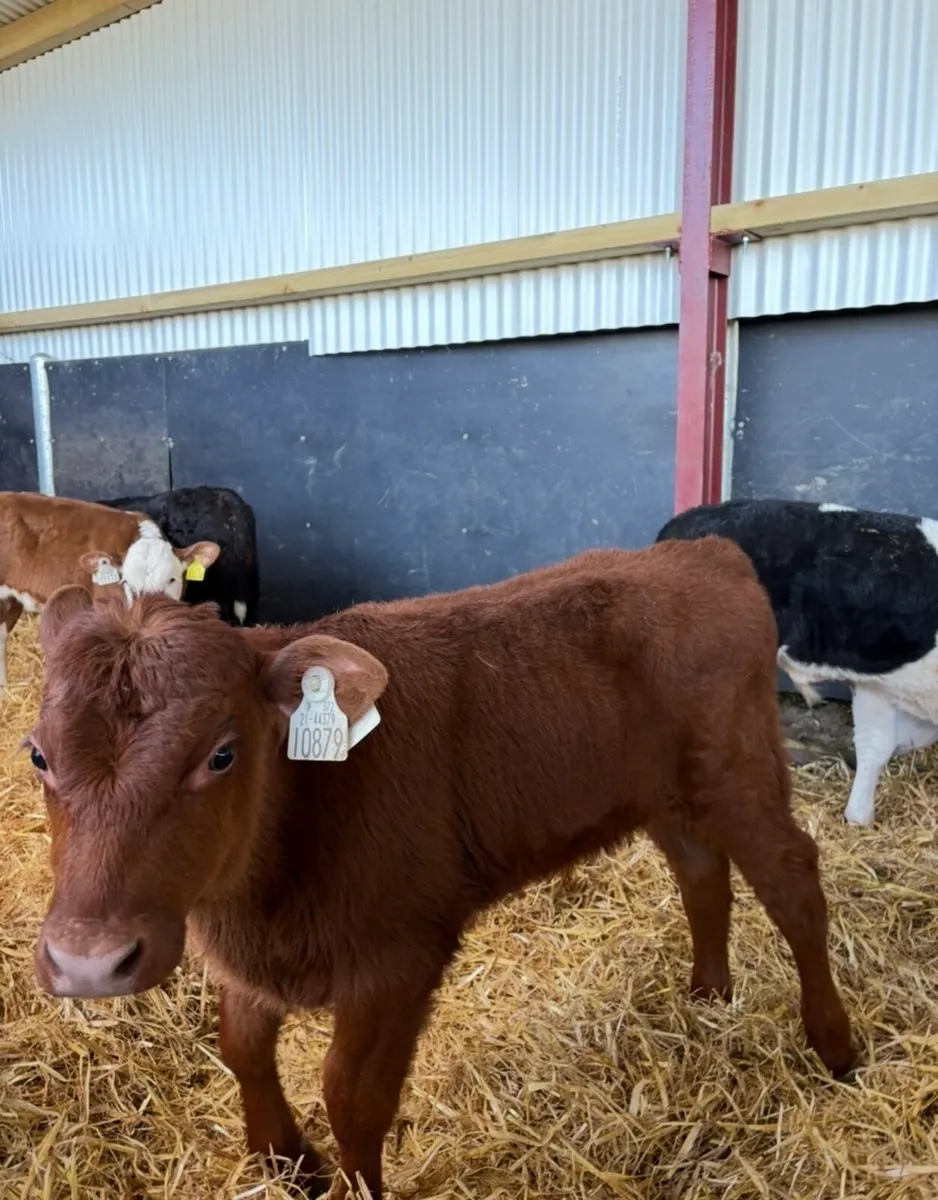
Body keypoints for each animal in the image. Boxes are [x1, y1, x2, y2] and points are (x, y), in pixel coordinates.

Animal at [29, 540, 855, 1199]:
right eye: (37, 754)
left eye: (222, 754)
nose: (89, 961)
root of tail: (706, 552)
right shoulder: (252, 958)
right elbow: (243, 1050)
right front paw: (288, 1163)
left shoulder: (399, 958)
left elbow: (352, 1096)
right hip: (664, 794)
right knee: (701, 874)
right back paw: (709, 994)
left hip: (740, 771)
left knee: (794, 882)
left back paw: (836, 1047)